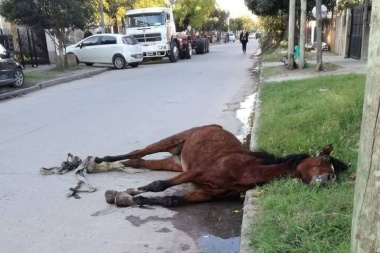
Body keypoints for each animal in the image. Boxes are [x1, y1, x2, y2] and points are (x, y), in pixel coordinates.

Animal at [88, 124, 348, 208]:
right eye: (325, 160)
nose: (330, 180)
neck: (244, 170)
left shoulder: (206, 192)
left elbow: (170, 199)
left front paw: (132, 199)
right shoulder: (198, 172)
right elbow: (158, 185)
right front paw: (127, 193)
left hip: (176, 164)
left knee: (137, 161)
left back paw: (107, 166)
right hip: (176, 140)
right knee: (139, 152)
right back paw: (98, 161)